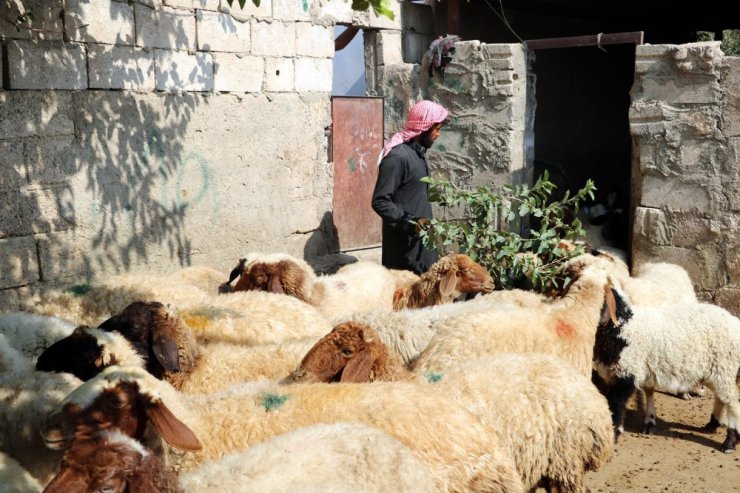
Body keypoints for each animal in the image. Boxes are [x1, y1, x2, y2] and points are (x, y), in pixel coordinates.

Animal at [592, 284, 740, 454]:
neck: (623, 328)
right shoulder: (617, 373)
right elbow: (646, 392)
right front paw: (649, 421)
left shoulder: (626, 371)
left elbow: (616, 404)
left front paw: (615, 432)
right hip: (717, 371)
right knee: (721, 397)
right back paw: (712, 424)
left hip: (725, 366)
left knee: (732, 401)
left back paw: (729, 442)